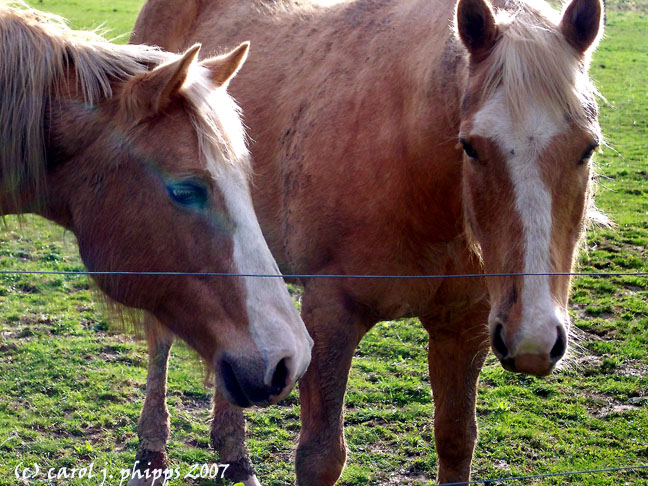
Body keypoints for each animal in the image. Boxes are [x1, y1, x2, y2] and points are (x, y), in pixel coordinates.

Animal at [133, 0, 608, 482]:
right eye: (471, 146)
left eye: (588, 148)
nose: (532, 341)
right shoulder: (329, 316)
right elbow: (321, 455)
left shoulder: (464, 325)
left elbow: (456, 439)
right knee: (159, 344)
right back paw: (151, 453)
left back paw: (235, 457)